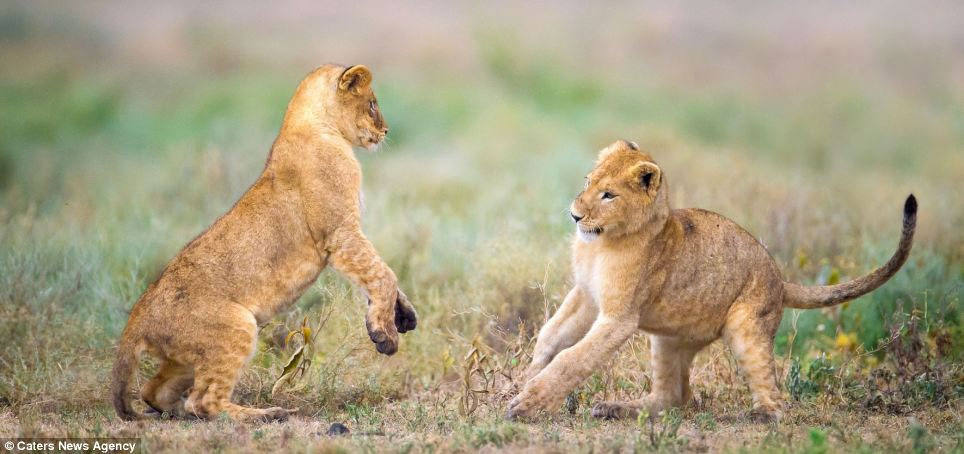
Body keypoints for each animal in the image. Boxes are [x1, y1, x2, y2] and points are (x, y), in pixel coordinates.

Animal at [111, 64, 418, 422]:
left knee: (154, 390)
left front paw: (402, 314)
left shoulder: (347, 235)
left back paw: (171, 413)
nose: (386, 131)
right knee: (202, 401)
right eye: (372, 104)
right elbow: (383, 273)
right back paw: (266, 413)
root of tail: (138, 316)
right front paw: (384, 334)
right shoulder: (340, 234)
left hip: (184, 357)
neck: (312, 125)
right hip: (237, 327)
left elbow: (379, 275)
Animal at [507, 140, 916, 422]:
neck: (603, 243)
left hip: (745, 328)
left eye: (608, 195)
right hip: (668, 340)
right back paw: (614, 408)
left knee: (775, 399)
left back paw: (756, 415)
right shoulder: (586, 295)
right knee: (673, 396)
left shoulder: (619, 318)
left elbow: (572, 358)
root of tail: (781, 279)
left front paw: (527, 404)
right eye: (588, 182)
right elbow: (550, 336)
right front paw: (522, 378)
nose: (575, 215)